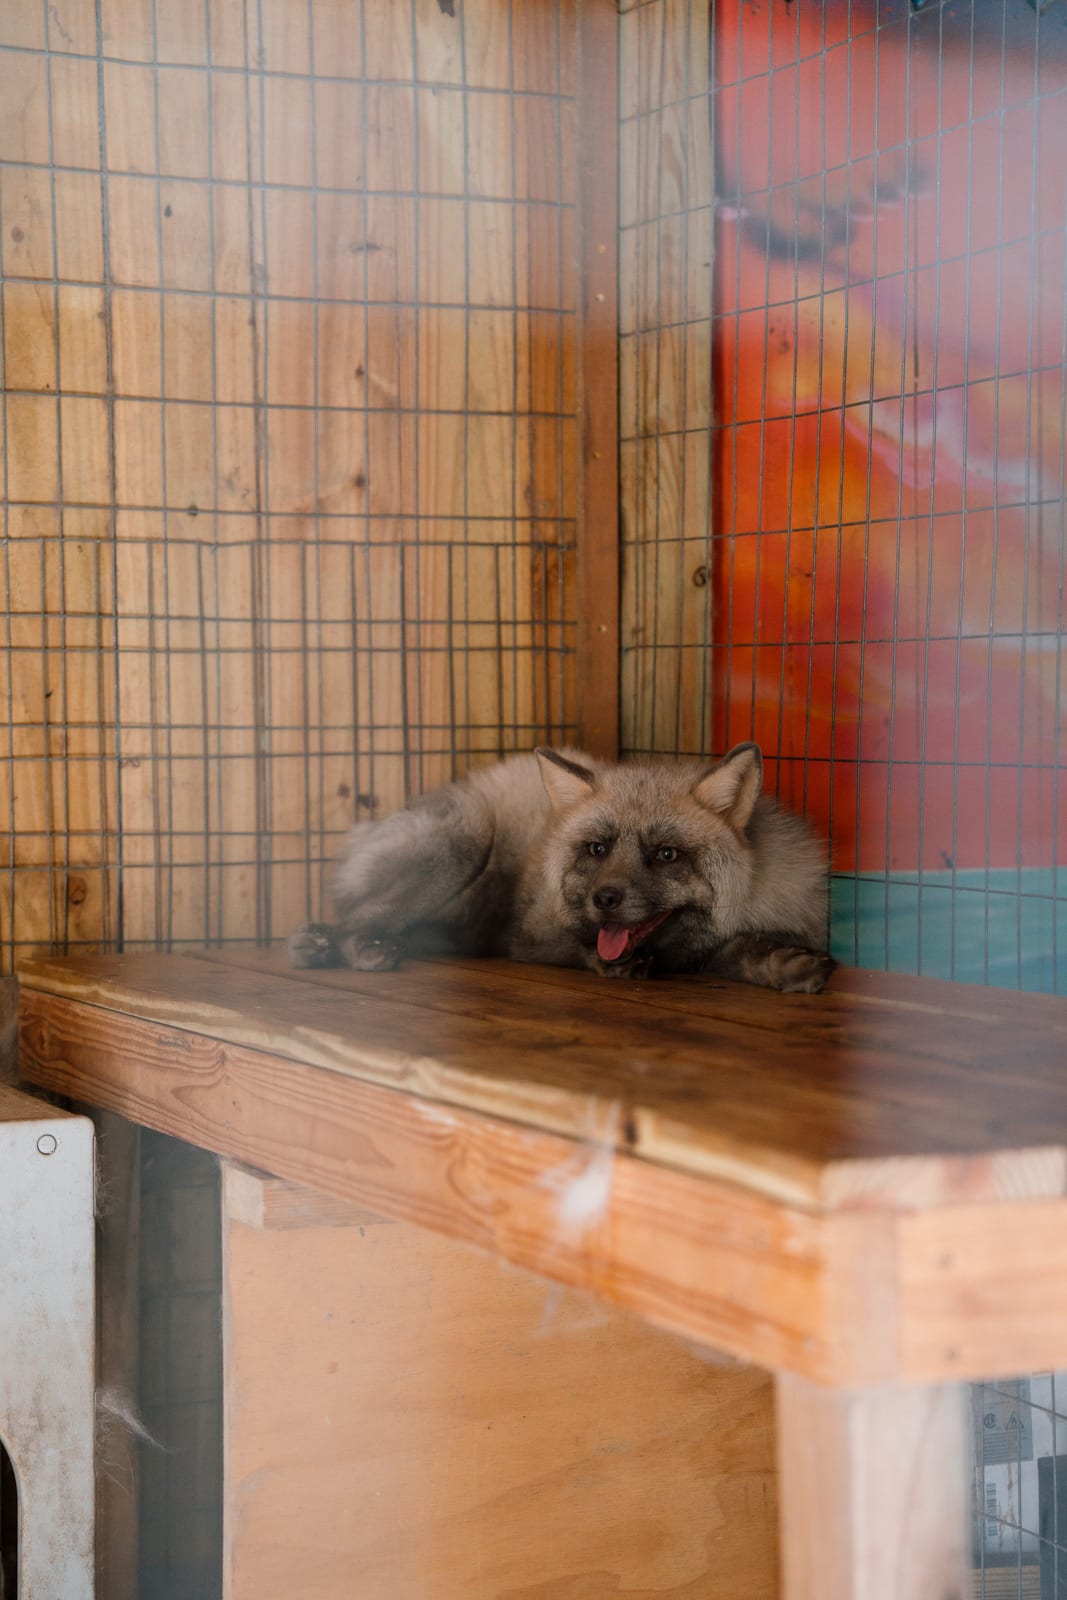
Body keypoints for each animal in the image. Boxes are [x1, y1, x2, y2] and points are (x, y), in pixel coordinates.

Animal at [288, 742, 835, 993]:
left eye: (666, 855)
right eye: (596, 849)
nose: (605, 899)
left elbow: (740, 949)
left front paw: (781, 964)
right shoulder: (527, 936)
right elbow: (577, 947)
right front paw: (606, 960)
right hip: (463, 844)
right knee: (357, 921)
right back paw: (346, 947)